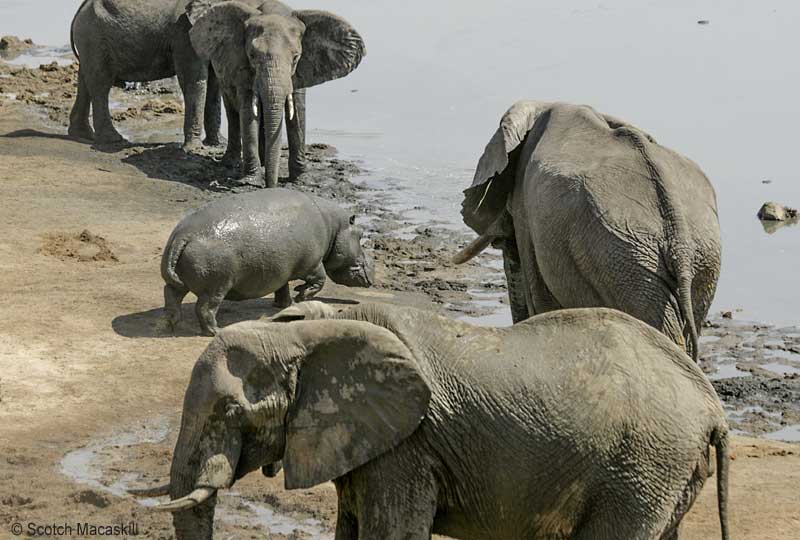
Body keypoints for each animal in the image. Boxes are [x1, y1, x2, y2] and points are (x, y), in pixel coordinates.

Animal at [68, 0, 222, 147]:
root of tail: (79, 11)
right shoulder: (184, 33)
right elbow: (194, 79)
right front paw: (196, 148)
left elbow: (214, 83)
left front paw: (217, 144)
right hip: (94, 38)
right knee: (101, 84)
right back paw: (114, 140)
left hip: (90, 41)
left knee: (85, 81)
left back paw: (83, 135)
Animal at [133, 300, 732, 540]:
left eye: (232, 412)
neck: (311, 329)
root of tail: (711, 405)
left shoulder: (408, 447)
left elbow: (390, 534)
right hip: (667, 471)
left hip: (641, 468)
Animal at [162, 188, 378, 336]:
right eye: (361, 234)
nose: (373, 270)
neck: (334, 227)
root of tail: (183, 235)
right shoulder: (313, 262)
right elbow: (319, 280)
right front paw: (301, 295)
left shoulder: (280, 270)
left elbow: (282, 287)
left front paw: (285, 303)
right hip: (216, 287)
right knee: (204, 309)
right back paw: (216, 332)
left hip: (184, 283)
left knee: (171, 296)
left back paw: (173, 324)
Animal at [188, 0, 366, 188]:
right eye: (252, 56)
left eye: (295, 57)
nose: (271, 186)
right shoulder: (241, 66)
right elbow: (248, 113)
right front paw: (250, 181)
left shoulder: (301, 70)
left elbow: (298, 112)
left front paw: (300, 180)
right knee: (233, 113)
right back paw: (232, 163)